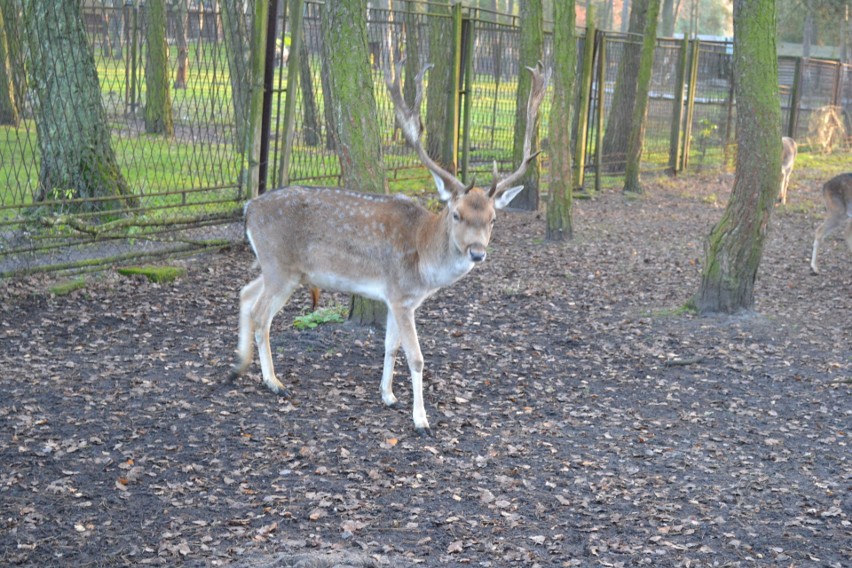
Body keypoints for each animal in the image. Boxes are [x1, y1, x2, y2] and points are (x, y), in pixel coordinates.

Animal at [231, 62, 552, 432]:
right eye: (456, 214)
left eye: (493, 219)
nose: (477, 252)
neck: (424, 260)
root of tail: (249, 208)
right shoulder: (400, 294)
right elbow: (416, 357)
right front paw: (421, 419)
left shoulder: (395, 299)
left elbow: (390, 347)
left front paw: (388, 396)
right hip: (280, 266)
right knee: (261, 315)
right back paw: (274, 382)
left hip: (281, 268)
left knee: (245, 293)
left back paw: (239, 365)